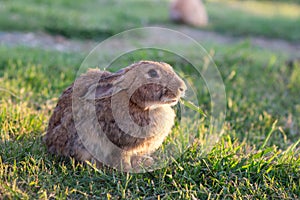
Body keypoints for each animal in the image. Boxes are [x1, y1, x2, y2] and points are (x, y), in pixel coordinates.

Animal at [43, 60, 186, 171]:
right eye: (152, 73)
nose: (182, 88)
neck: (134, 102)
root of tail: (49, 142)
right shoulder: (119, 146)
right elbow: (123, 159)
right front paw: (128, 171)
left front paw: (145, 163)